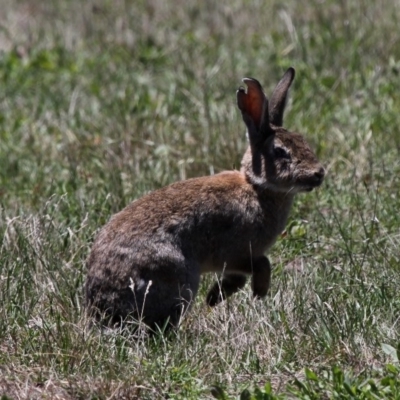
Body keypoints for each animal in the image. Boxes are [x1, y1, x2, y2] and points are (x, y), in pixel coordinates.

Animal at [84, 68, 324, 332]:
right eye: (280, 152)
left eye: (303, 140)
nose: (319, 173)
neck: (257, 187)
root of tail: (101, 307)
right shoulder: (236, 251)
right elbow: (262, 264)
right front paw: (256, 293)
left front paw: (214, 297)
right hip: (178, 276)